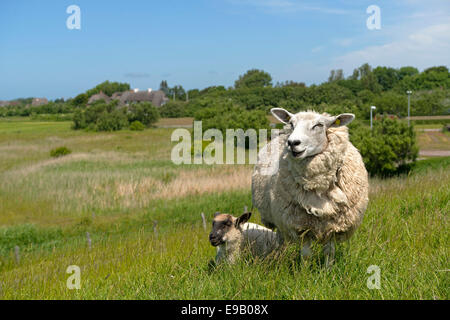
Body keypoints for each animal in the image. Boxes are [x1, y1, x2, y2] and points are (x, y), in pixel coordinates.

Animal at [251, 109, 368, 266]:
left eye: (319, 125)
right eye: (291, 124)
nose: (292, 143)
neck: (318, 185)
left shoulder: (334, 225)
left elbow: (329, 252)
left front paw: (328, 269)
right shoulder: (301, 225)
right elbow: (306, 255)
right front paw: (304, 271)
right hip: (277, 218)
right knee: (280, 239)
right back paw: (279, 257)